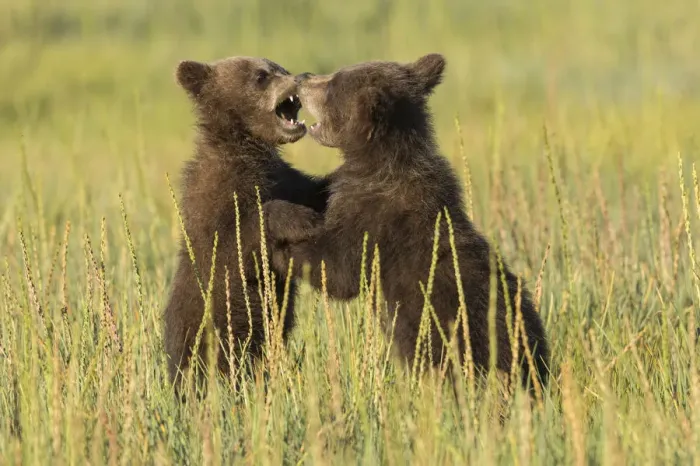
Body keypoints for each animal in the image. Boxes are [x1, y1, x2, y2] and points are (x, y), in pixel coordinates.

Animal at [163, 56, 329, 392]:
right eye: (261, 76)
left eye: (281, 68)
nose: (299, 77)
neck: (246, 148)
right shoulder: (213, 200)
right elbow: (234, 244)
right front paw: (302, 219)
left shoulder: (283, 177)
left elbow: (314, 189)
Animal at [263, 54, 550, 393]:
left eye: (333, 85)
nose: (304, 77)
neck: (381, 163)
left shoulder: (377, 221)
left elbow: (338, 268)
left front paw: (281, 244)